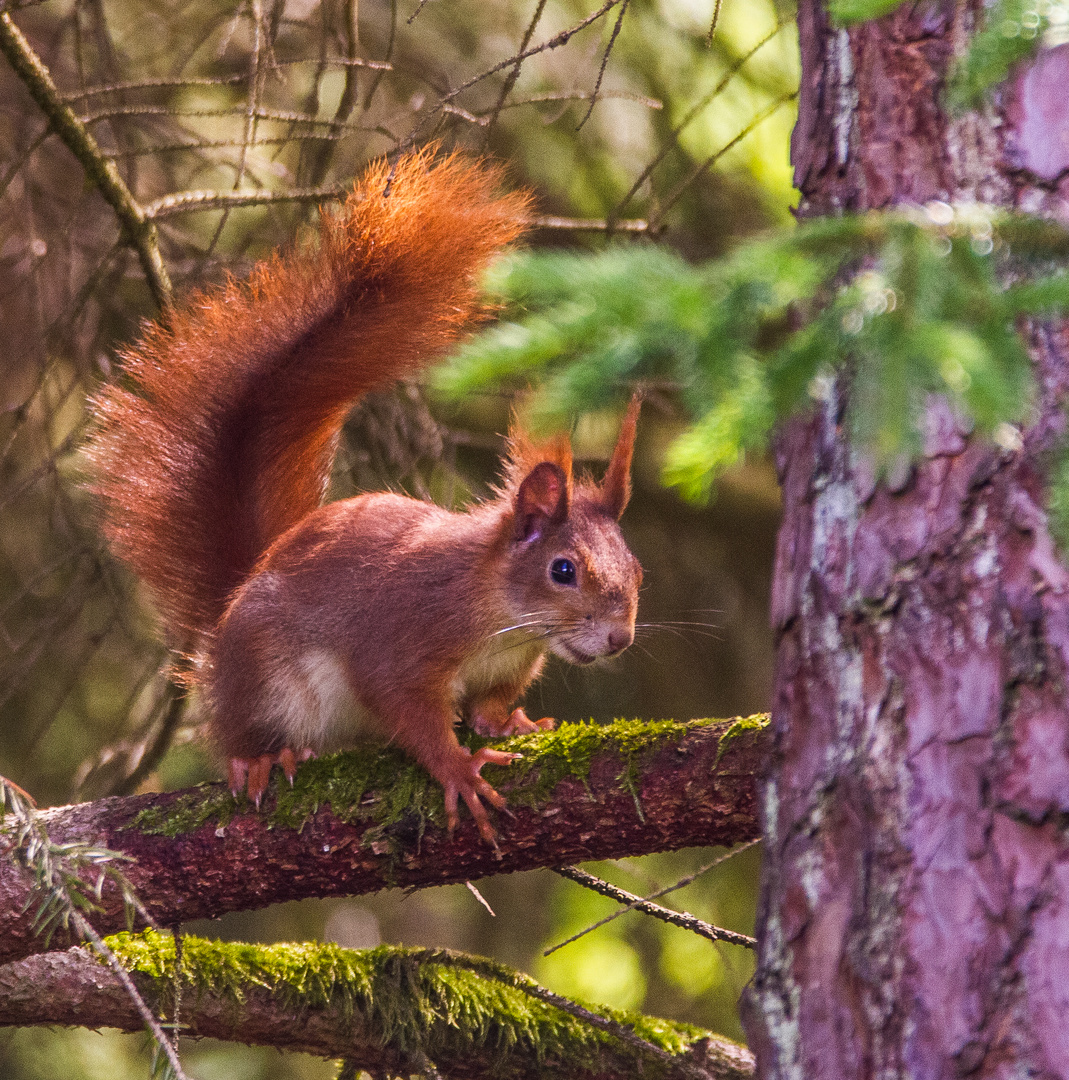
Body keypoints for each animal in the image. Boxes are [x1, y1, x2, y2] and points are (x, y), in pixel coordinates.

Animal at [88, 150, 639, 842]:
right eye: (563, 570)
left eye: (637, 569)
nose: (620, 638)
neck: (502, 619)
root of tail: (230, 604)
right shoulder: (403, 633)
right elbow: (405, 707)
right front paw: (458, 769)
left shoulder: (510, 667)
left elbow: (487, 709)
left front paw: (510, 722)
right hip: (263, 676)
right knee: (240, 734)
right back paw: (260, 758)